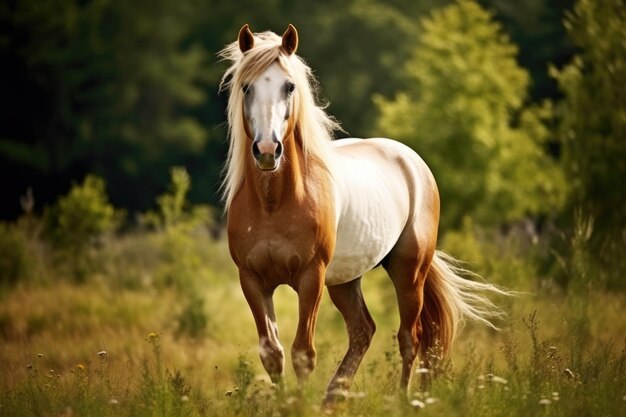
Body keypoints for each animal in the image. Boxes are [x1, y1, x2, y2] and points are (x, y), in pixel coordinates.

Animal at [217, 23, 504, 404]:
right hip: (345, 280)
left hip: (408, 270)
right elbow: (272, 354)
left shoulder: (311, 279)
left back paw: (404, 401)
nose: (267, 150)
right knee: (363, 330)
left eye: (289, 86)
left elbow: (302, 353)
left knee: (411, 338)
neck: (273, 203)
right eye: (246, 87)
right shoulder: (252, 280)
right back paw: (334, 398)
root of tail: (412, 161)